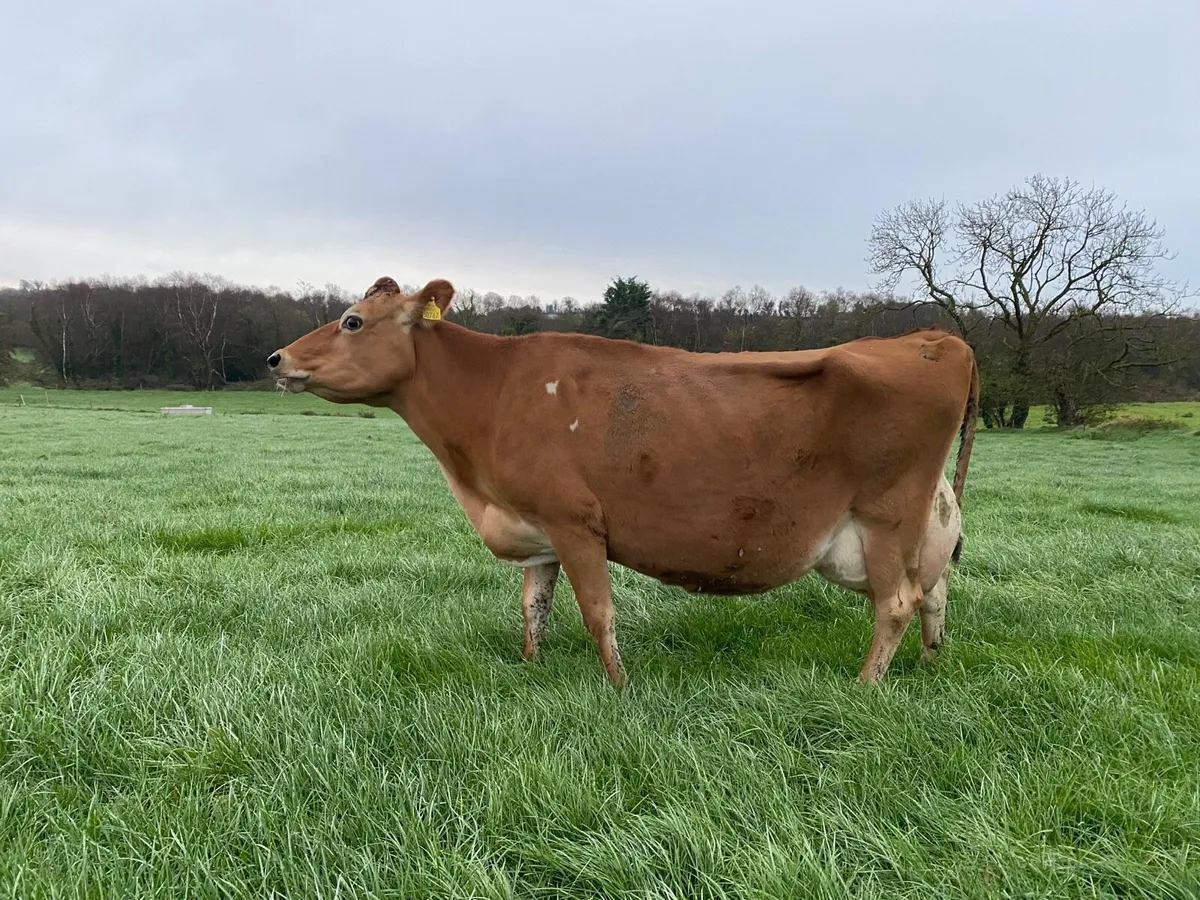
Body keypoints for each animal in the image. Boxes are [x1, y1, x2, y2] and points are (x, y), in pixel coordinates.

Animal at [268, 276, 979, 688]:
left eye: (353, 320)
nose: (276, 358)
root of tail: (934, 338)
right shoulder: (536, 528)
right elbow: (534, 607)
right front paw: (529, 670)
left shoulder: (575, 521)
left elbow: (596, 611)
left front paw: (617, 687)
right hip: (928, 516)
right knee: (935, 591)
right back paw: (929, 666)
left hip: (886, 514)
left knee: (896, 602)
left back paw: (866, 688)